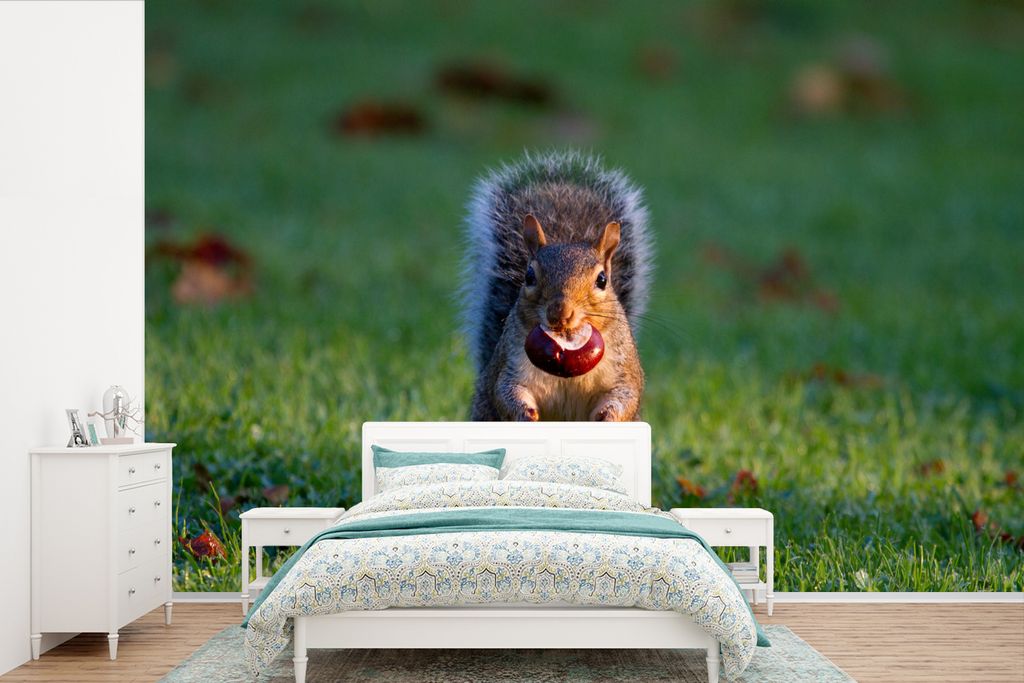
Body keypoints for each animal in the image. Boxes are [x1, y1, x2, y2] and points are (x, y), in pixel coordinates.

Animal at [460, 151, 653, 421]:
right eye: (529, 276)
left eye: (602, 280)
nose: (559, 313)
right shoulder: (511, 363)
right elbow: (505, 392)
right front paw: (526, 413)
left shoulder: (623, 368)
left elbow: (626, 395)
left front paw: (608, 416)